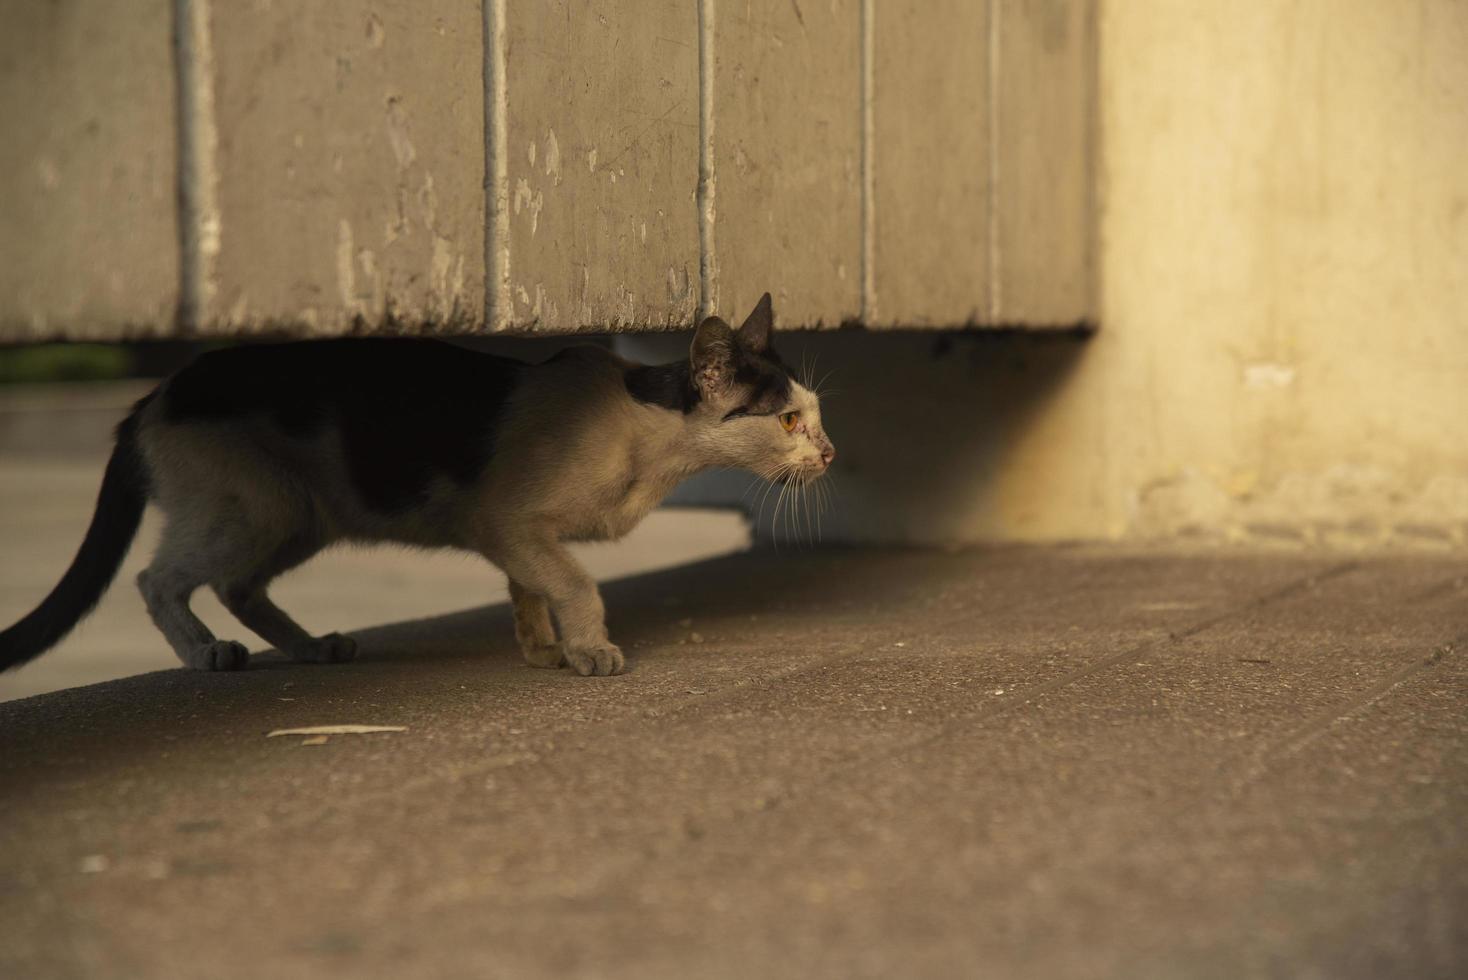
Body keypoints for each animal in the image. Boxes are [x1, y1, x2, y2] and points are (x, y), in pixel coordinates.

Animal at [0, 293, 827, 674]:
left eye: (815, 415)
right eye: (789, 421)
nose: (829, 453)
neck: (647, 445)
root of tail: (152, 396)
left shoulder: (517, 538)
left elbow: (530, 589)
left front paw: (542, 651)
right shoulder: (508, 521)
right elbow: (575, 583)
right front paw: (589, 650)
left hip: (301, 516)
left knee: (238, 586)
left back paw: (310, 647)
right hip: (252, 507)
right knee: (158, 578)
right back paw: (206, 654)